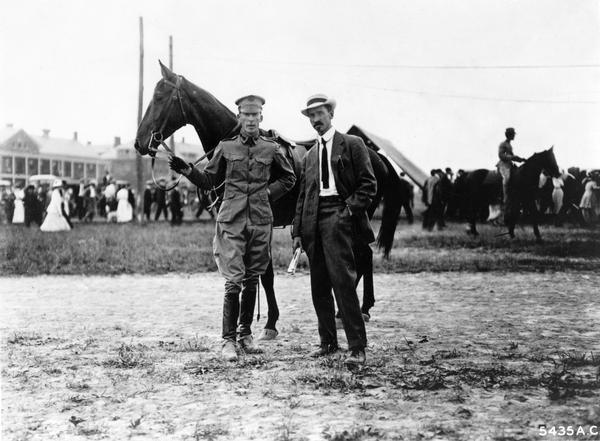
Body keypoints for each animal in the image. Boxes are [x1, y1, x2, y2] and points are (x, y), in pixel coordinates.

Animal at [135, 60, 408, 330]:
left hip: (357, 217)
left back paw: (358, 310)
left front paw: (269, 322)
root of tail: (376, 156)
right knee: (363, 256)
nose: (139, 142)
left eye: (159, 96)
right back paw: (353, 310)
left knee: (361, 257)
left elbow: (265, 274)